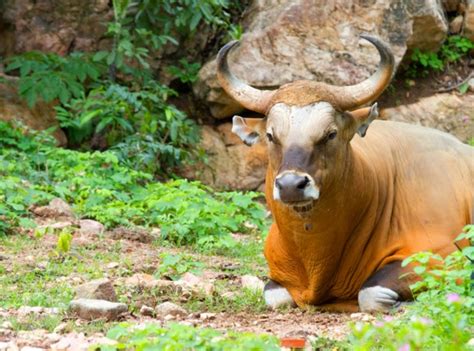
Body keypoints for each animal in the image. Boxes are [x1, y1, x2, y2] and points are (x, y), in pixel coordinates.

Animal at [217, 34, 474, 312]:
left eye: (331, 134)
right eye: (271, 135)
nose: (291, 185)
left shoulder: (443, 254)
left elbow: (371, 292)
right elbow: (275, 297)